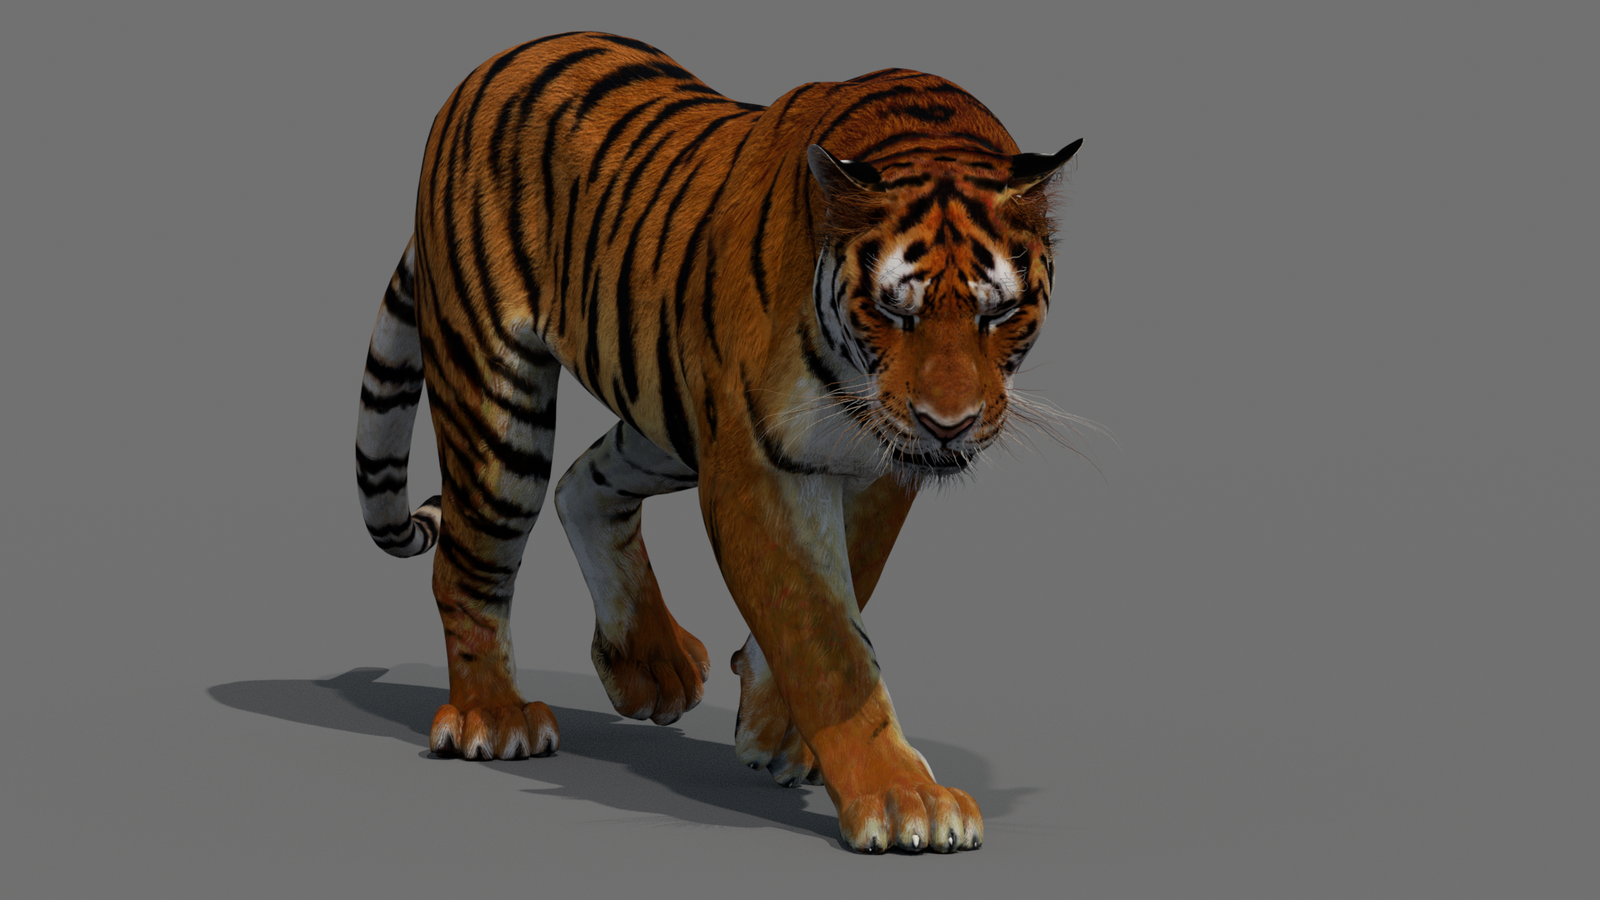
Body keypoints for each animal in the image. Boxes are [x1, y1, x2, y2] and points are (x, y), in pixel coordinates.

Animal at [355, 31, 1080, 854]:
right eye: (895, 312)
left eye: (1000, 314)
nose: (948, 423)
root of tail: (497, 59)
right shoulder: (757, 465)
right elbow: (824, 636)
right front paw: (904, 800)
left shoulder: (876, 466)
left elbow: (850, 581)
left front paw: (772, 728)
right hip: (499, 405)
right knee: (468, 561)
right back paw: (495, 717)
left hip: (672, 407)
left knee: (581, 483)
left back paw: (648, 663)